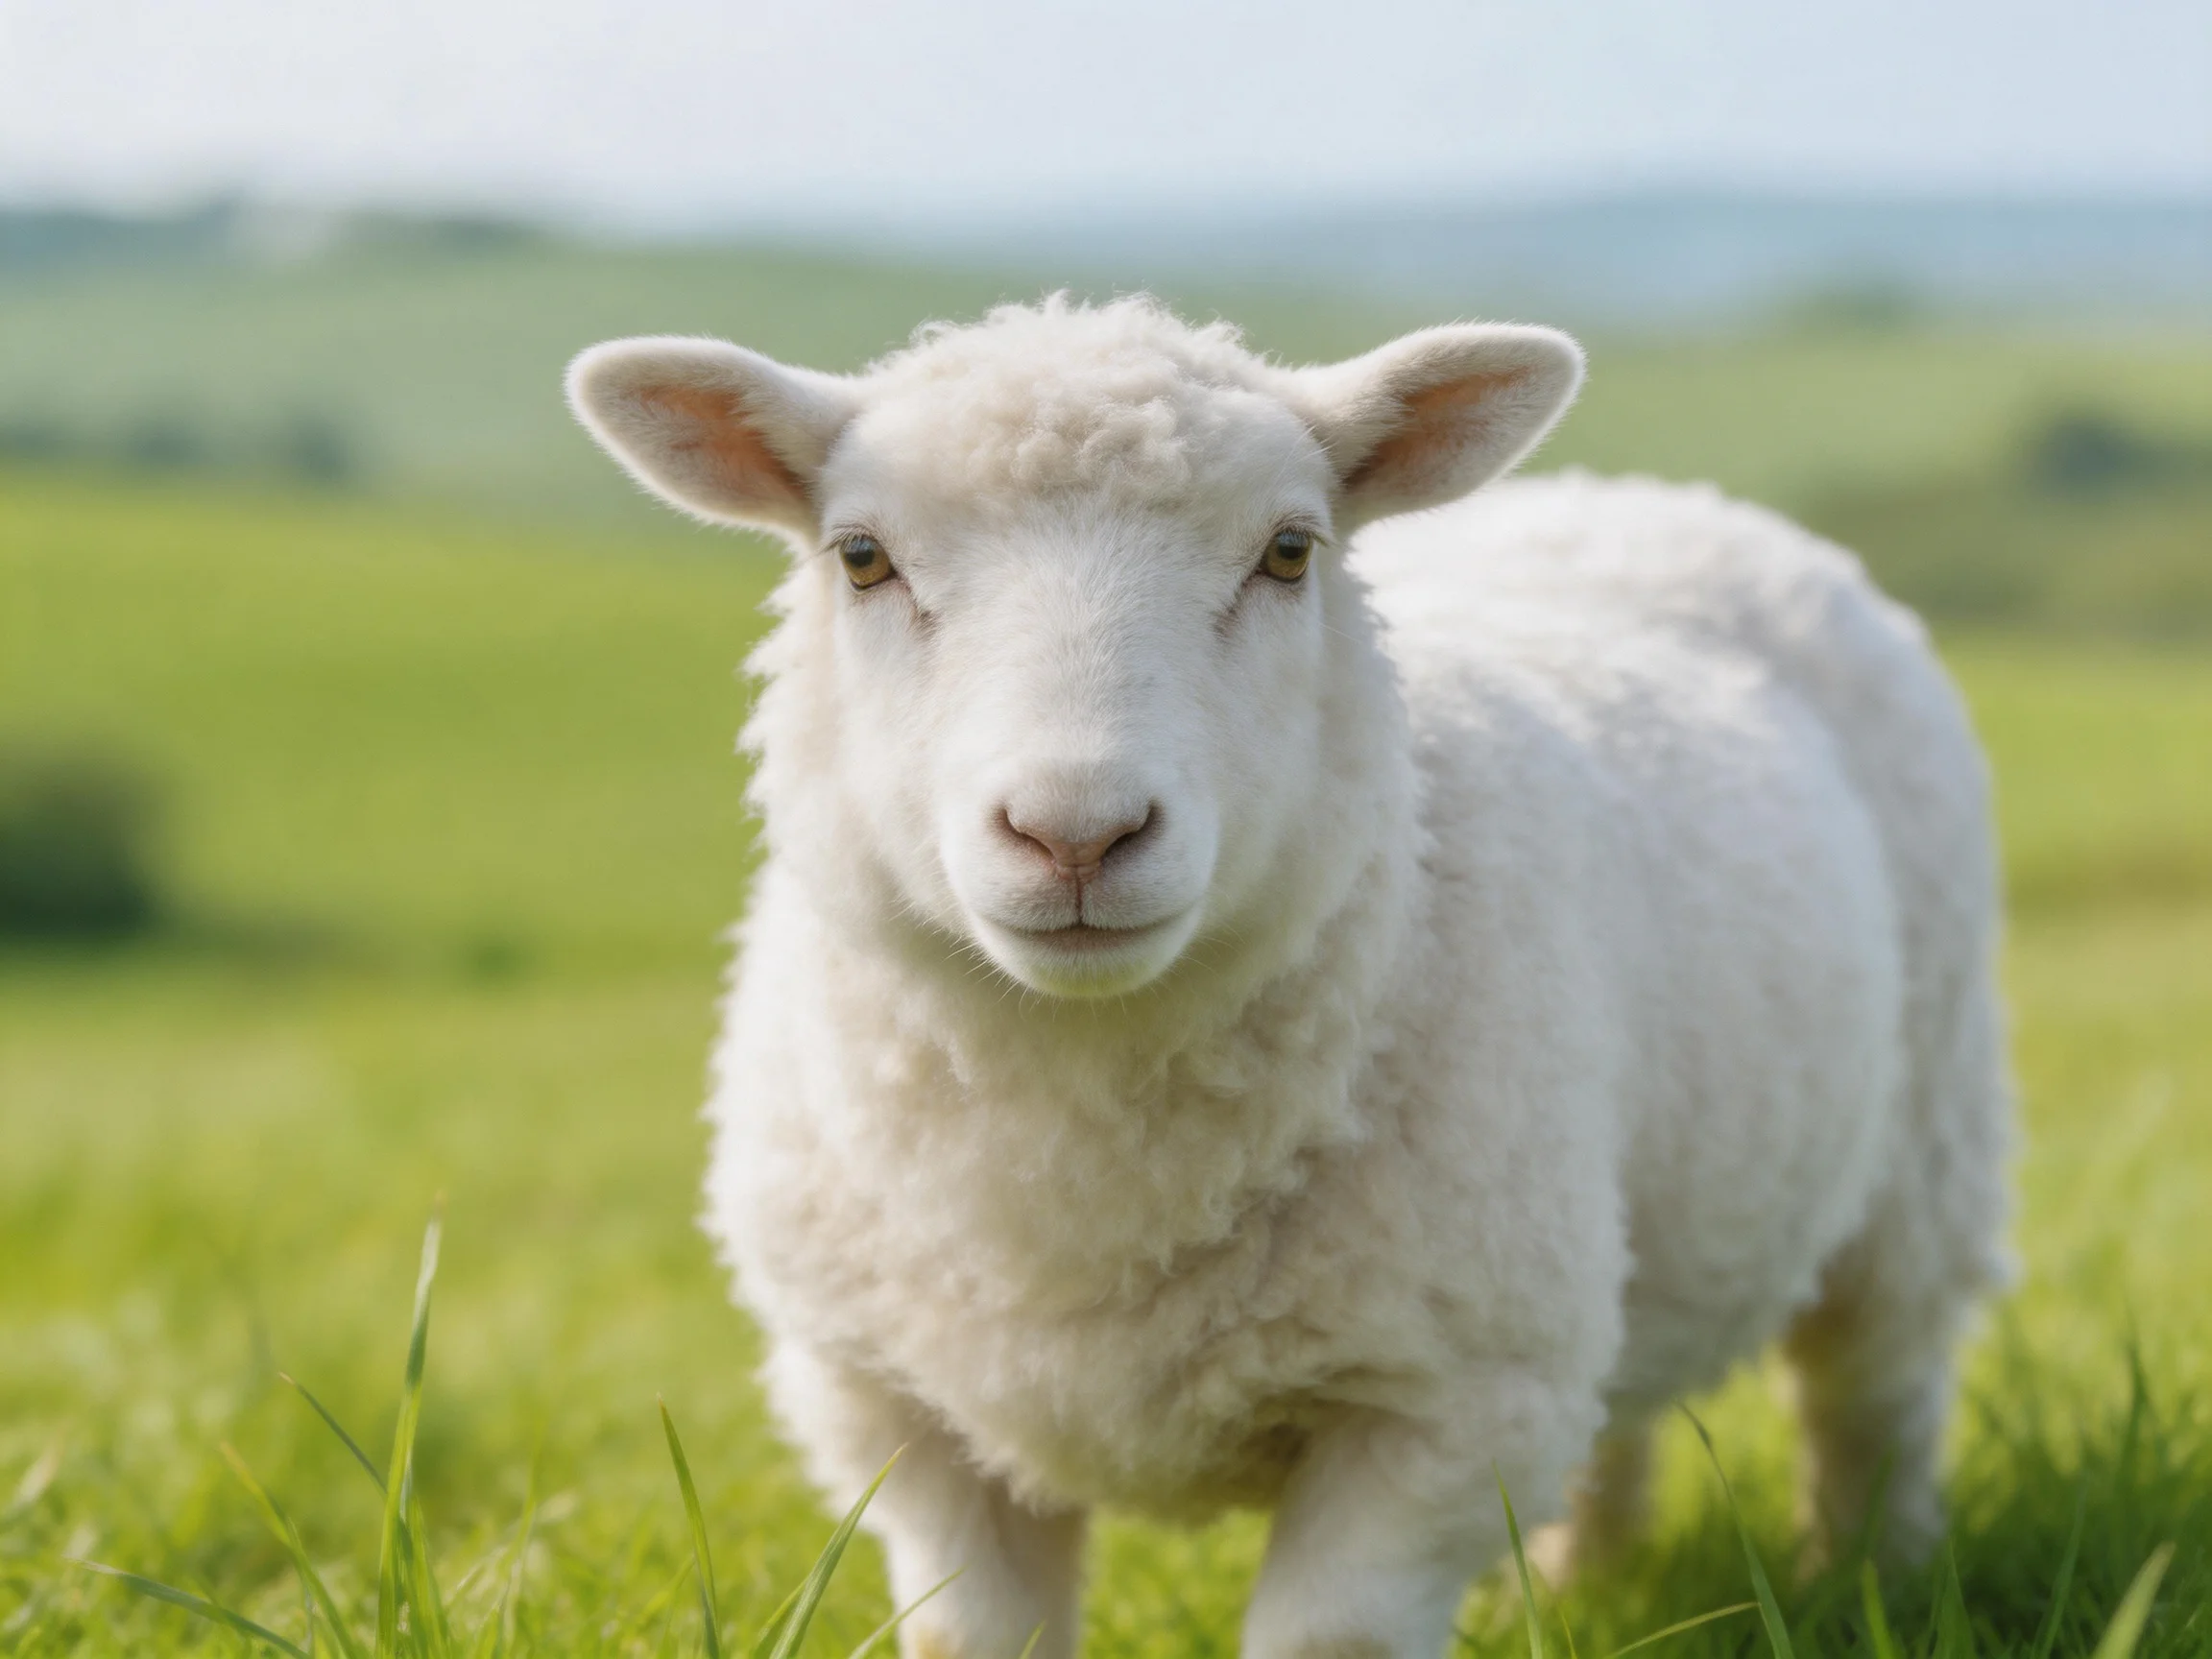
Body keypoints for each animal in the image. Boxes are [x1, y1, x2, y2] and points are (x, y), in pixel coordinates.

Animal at [566, 296, 2011, 1659]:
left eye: (1288, 551)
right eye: (862, 558)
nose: (1076, 834)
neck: (1081, 1163)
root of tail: (1641, 497)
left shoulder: (1440, 1400)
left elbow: (1334, 1636)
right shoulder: (893, 1413)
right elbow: (963, 1632)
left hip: (1921, 1154)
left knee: (1871, 1402)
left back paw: (1869, 1582)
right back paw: (1576, 1586)